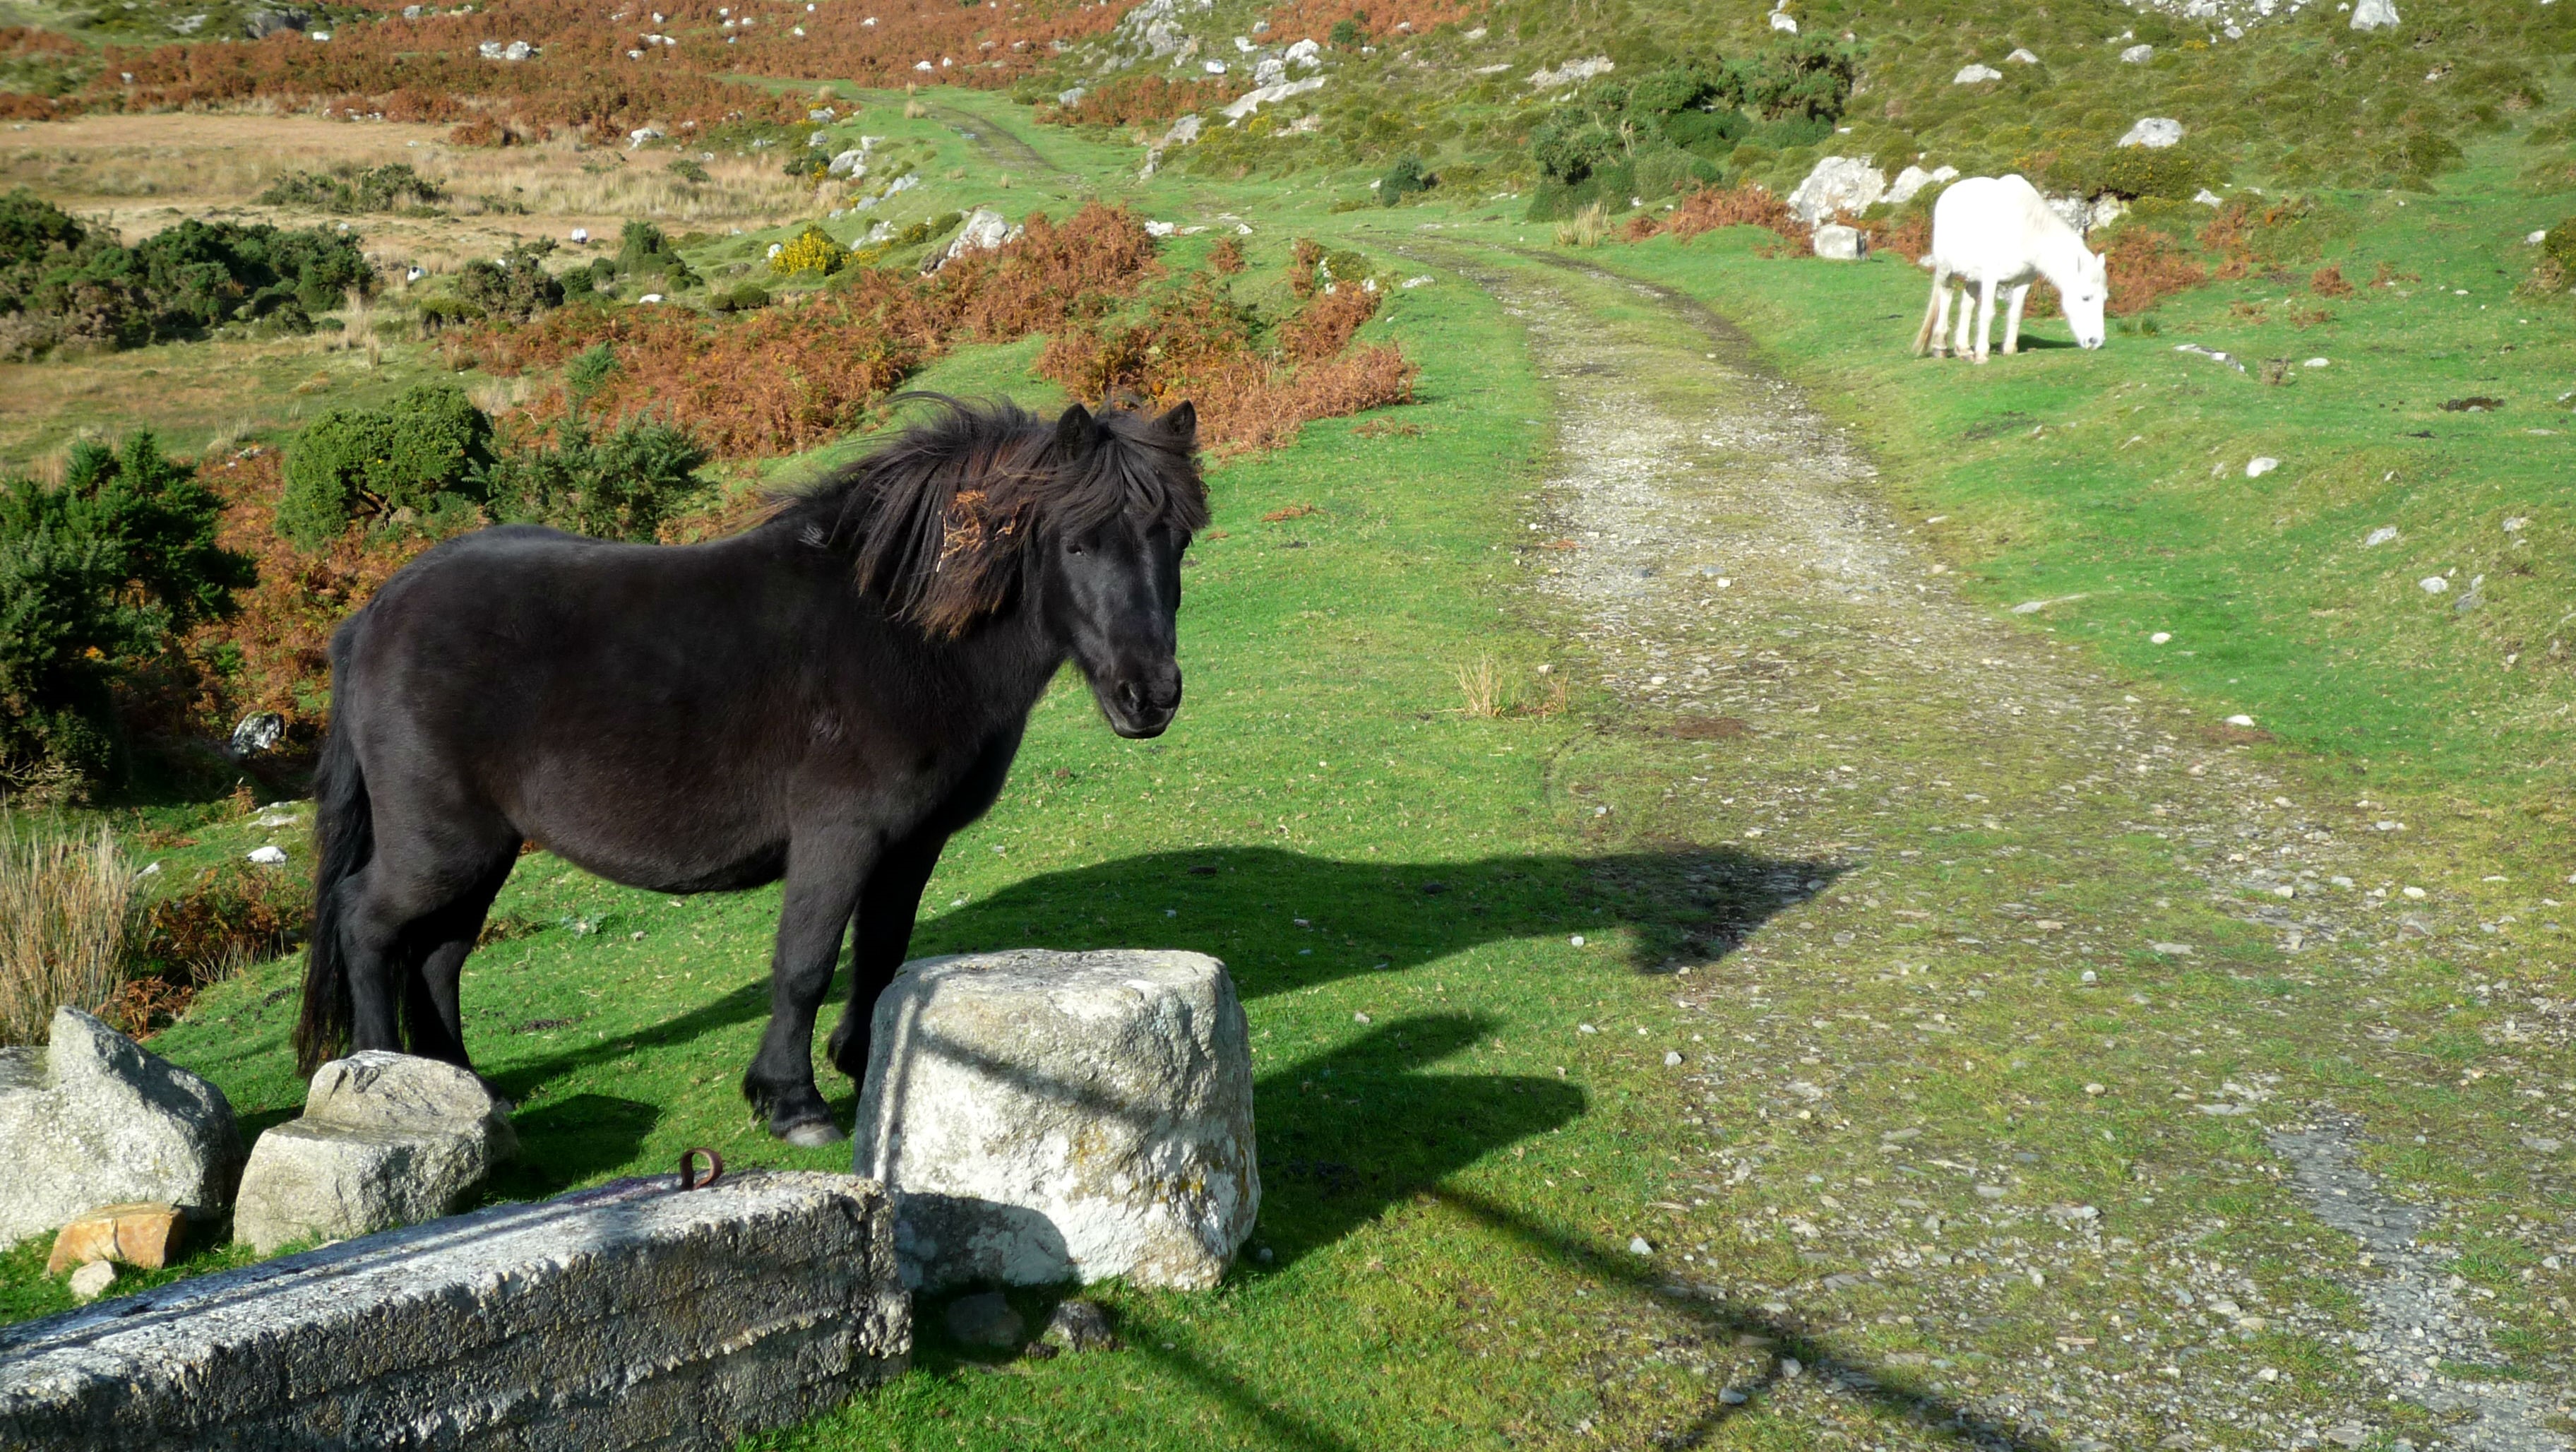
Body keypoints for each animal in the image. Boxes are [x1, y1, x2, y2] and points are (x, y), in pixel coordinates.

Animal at [293, 396, 1207, 1145]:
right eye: (1078, 542)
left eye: (1177, 539)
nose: (1150, 696)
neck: (902, 632)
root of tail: (374, 613)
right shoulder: (840, 834)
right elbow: (804, 962)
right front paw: (791, 1101)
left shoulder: (912, 843)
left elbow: (881, 952)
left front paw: (866, 1062)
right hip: (442, 846)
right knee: (369, 925)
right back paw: (385, 1081)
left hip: (483, 852)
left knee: (437, 956)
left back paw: (466, 1087)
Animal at [1910, 173, 2108, 363]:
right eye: (2085, 298)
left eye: (2105, 299)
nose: (2096, 341)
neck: (2022, 230)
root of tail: (1947, 193)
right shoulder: (1991, 278)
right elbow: (1987, 313)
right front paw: (1982, 355)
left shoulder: (2024, 282)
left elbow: (2016, 313)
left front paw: (2009, 349)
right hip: (1946, 270)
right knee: (1946, 298)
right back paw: (1940, 347)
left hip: (1973, 276)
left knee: (1967, 304)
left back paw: (1964, 350)